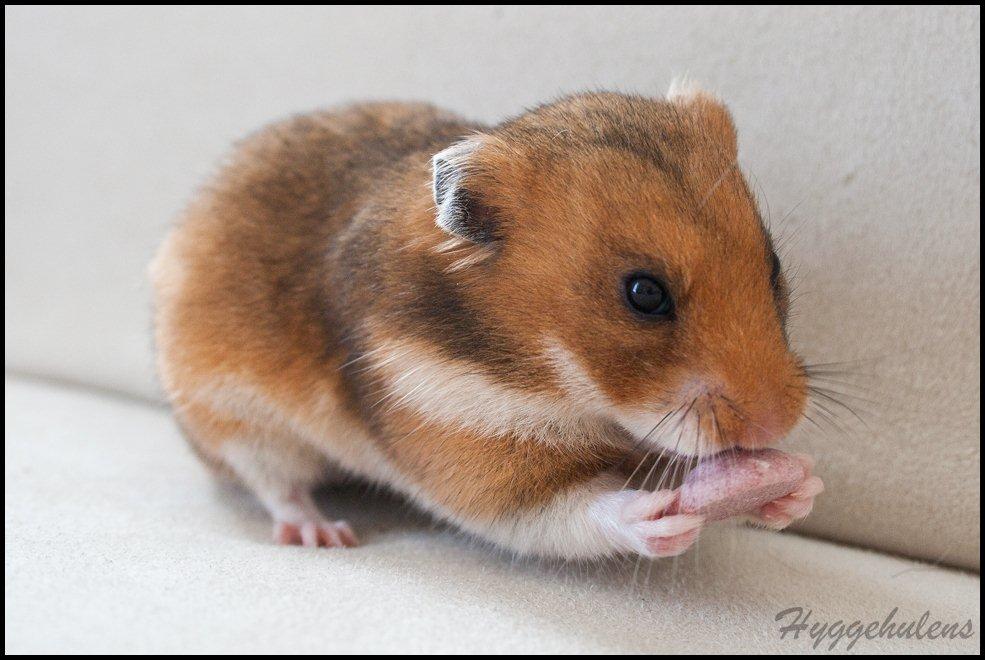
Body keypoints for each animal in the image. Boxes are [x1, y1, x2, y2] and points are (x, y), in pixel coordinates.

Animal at [151, 85, 822, 559]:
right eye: (644, 294)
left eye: (773, 266)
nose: (776, 424)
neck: (551, 378)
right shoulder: (465, 451)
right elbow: (567, 511)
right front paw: (658, 516)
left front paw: (797, 490)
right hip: (232, 414)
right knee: (275, 484)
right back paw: (325, 535)